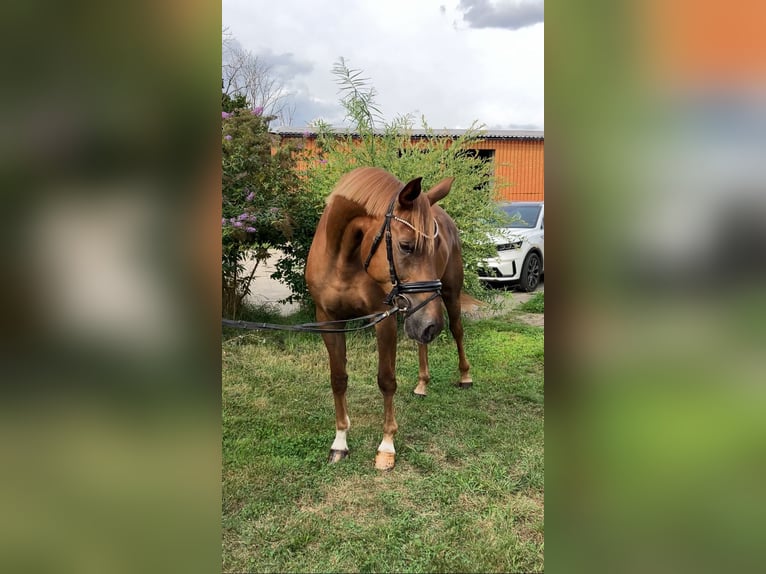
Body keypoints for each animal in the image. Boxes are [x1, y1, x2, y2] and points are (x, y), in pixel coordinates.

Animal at [305, 167, 473, 470]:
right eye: (406, 246)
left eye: (435, 246)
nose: (433, 325)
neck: (344, 260)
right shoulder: (328, 320)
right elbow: (338, 378)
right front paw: (340, 441)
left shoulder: (384, 319)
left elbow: (386, 380)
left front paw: (386, 446)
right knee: (421, 342)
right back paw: (422, 383)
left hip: (448, 294)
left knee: (457, 330)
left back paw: (465, 377)